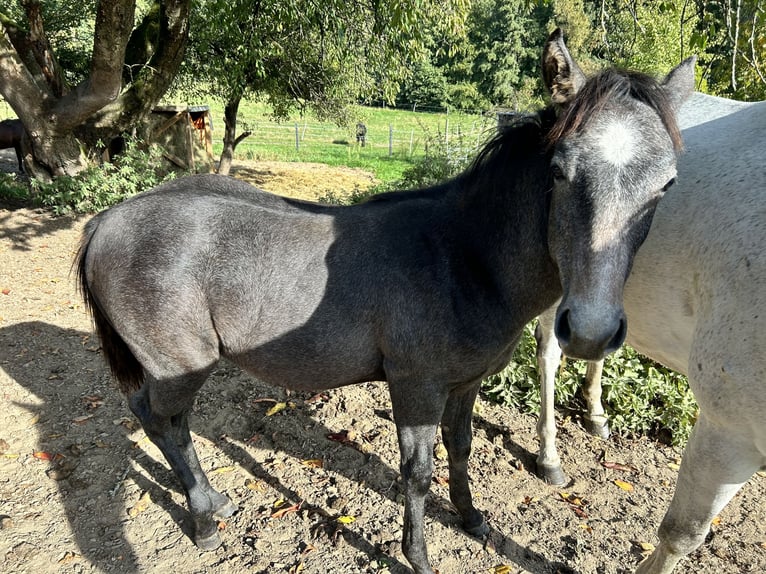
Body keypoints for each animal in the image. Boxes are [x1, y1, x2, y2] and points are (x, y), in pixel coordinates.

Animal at [73, 31, 696, 574]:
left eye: (666, 184)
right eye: (561, 171)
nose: (591, 331)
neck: (464, 257)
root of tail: (106, 221)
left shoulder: (464, 384)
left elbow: (461, 448)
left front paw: (472, 519)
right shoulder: (415, 385)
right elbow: (417, 472)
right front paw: (417, 555)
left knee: (167, 423)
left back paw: (213, 502)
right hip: (179, 365)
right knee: (162, 420)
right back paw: (203, 521)